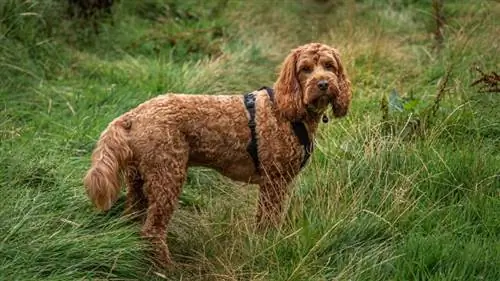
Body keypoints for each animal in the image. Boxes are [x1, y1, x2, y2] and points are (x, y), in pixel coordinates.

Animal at [83, 42, 352, 266]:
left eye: (329, 66)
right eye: (305, 69)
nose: (323, 84)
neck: (286, 111)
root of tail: (133, 115)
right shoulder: (274, 181)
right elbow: (268, 220)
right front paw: (269, 244)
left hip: (138, 179)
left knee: (133, 218)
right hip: (167, 176)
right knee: (152, 230)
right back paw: (166, 268)